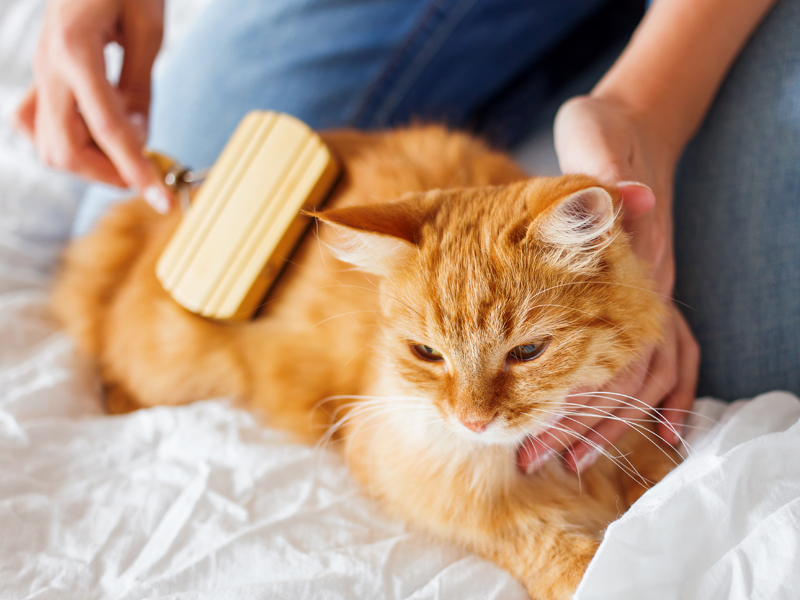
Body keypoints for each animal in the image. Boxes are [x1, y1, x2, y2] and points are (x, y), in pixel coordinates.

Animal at [51, 125, 676, 596]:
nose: (472, 421)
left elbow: (661, 482)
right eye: (427, 354)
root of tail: (172, 206)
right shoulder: (429, 489)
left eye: (527, 352)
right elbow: (551, 550)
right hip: (172, 363)